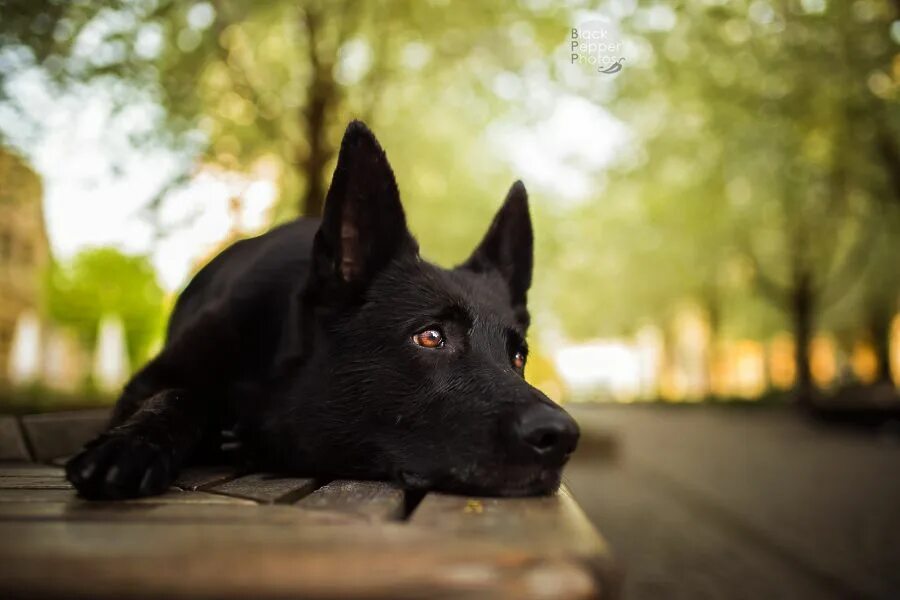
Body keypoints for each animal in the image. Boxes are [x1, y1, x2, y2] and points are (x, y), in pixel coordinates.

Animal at [67, 119, 580, 500]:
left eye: (518, 357)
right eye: (430, 336)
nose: (562, 437)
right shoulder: (147, 383)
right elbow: (180, 395)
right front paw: (131, 444)